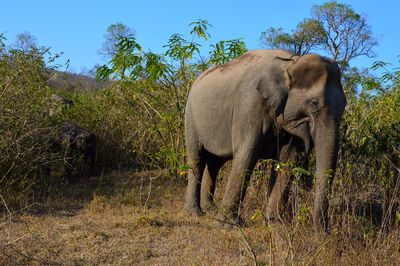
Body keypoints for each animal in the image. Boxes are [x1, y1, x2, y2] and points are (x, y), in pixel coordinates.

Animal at [183, 49, 346, 231]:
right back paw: (195, 212)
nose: (324, 232)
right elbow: (247, 155)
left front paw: (275, 224)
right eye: (313, 103)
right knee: (197, 159)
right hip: (191, 117)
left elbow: (287, 161)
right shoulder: (249, 104)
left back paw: (210, 209)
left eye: (344, 106)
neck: (291, 63)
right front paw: (228, 226)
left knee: (215, 163)